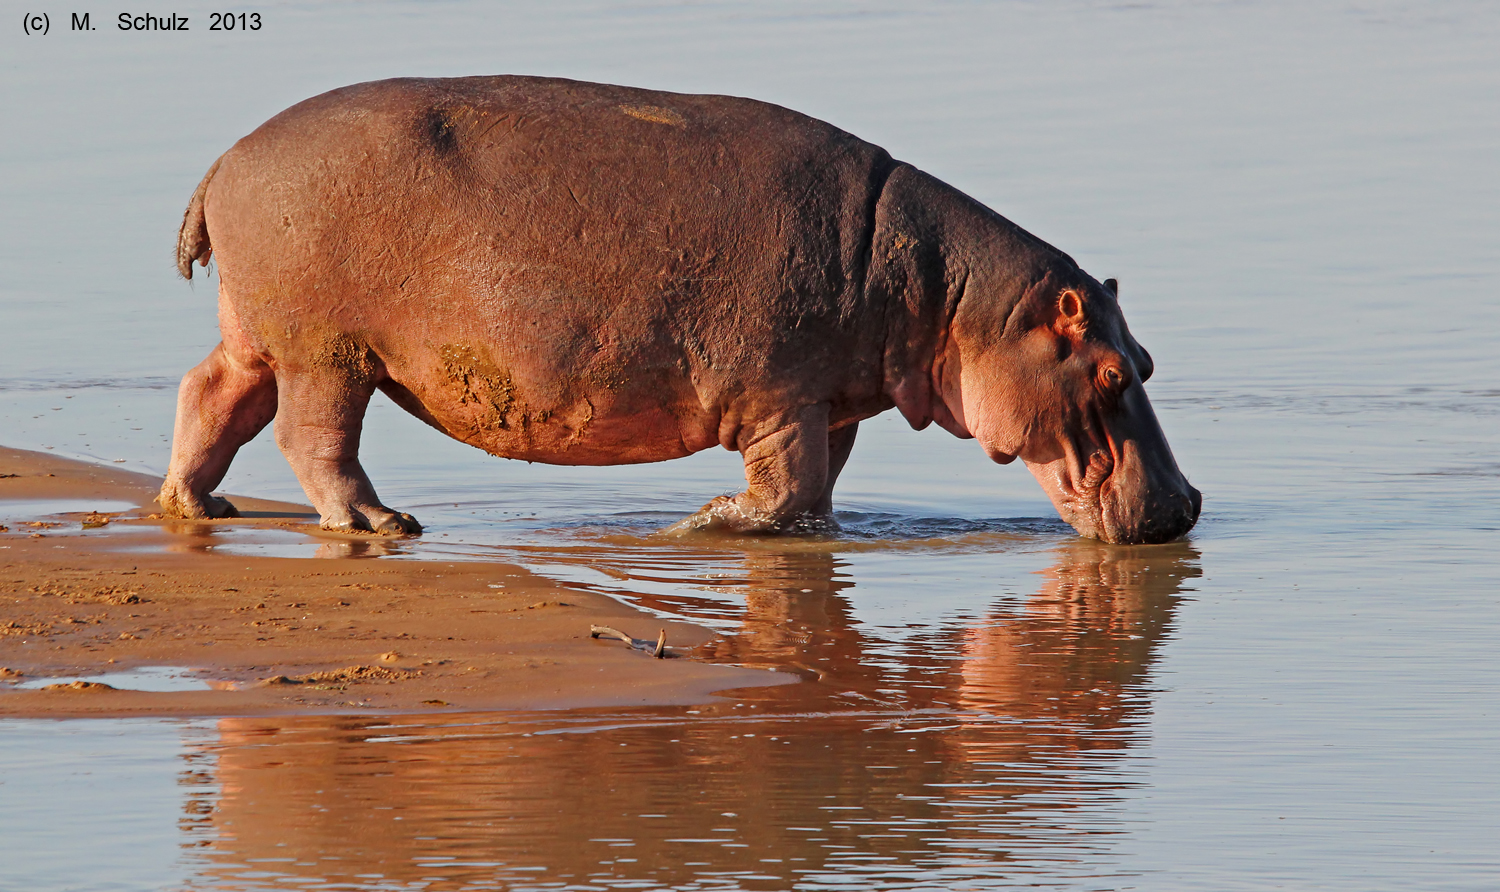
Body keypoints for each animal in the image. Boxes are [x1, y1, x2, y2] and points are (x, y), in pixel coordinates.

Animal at [161, 74, 1194, 545]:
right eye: (1109, 370)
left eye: (1147, 362)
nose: (1184, 506)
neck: (958, 302)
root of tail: (223, 159)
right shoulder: (781, 396)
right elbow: (785, 489)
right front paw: (705, 521)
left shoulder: (833, 402)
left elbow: (817, 494)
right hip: (328, 353)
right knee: (312, 439)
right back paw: (383, 524)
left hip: (260, 338)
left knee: (211, 394)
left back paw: (197, 504)